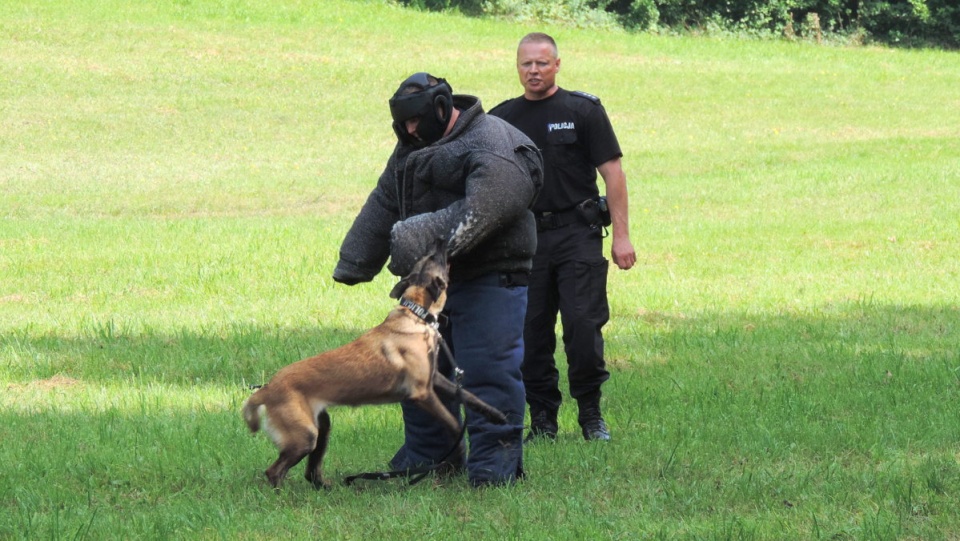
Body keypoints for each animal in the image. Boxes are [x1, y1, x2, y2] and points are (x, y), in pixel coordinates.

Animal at [244, 239, 506, 486]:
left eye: (427, 257)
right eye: (434, 258)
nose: (440, 239)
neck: (415, 315)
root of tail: (266, 390)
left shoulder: (436, 380)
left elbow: (470, 396)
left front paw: (496, 415)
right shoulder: (422, 394)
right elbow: (453, 424)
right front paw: (459, 451)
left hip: (321, 427)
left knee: (311, 471)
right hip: (304, 436)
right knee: (274, 471)